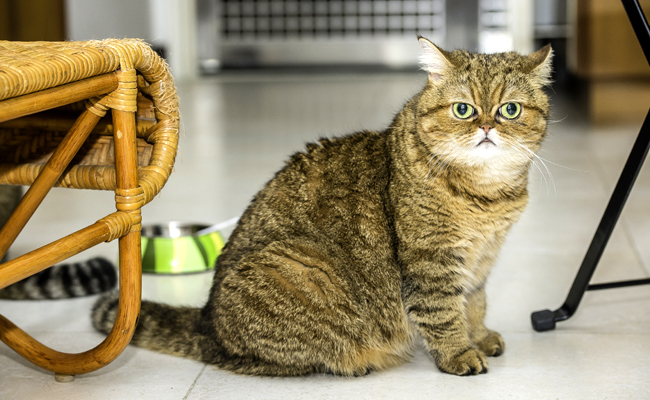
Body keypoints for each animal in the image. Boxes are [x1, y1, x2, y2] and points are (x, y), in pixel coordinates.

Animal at [91, 36, 552, 376]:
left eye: (510, 109)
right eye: (463, 109)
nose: (488, 126)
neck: (487, 196)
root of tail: (207, 324)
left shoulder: (481, 259)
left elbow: (474, 303)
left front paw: (480, 336)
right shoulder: (431, 261)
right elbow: (443, 313)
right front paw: (459, 353)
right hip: (304, 267)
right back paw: (355, 363)